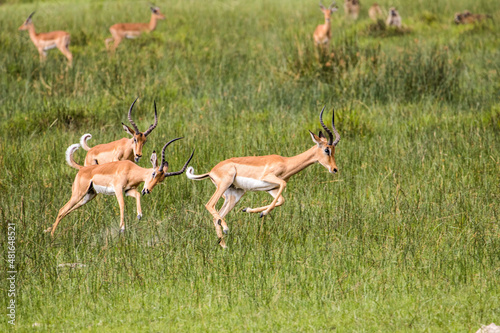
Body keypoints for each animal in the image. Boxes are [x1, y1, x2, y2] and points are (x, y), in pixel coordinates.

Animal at [48, 136, 193, 235]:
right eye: (153, 173)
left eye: (160, 180)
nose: (147, 190)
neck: (130, 169)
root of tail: (82, 168)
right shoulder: (118, 189)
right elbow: (122, 205)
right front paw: (122, 228)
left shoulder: (128, 190)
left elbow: (137, 195)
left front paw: (139, 215)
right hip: (78, 193)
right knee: (62, 210)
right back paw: (52, 236)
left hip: (89, 196)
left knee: (67, 211)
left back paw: (49, 231)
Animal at [186, 106, 342, 246]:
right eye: (327, 149)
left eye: (334, 150)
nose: (334, 169)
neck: (286, 162)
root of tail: (211, 171)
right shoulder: (269, 178)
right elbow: (283, 186)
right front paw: (263, 213)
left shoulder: (271, 188)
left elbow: (281, 200)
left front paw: (249, 210)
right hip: (224, 185)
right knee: (209, 205)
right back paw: (225, 229)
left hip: (235, 194)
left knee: (217, 216)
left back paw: (224, 246)